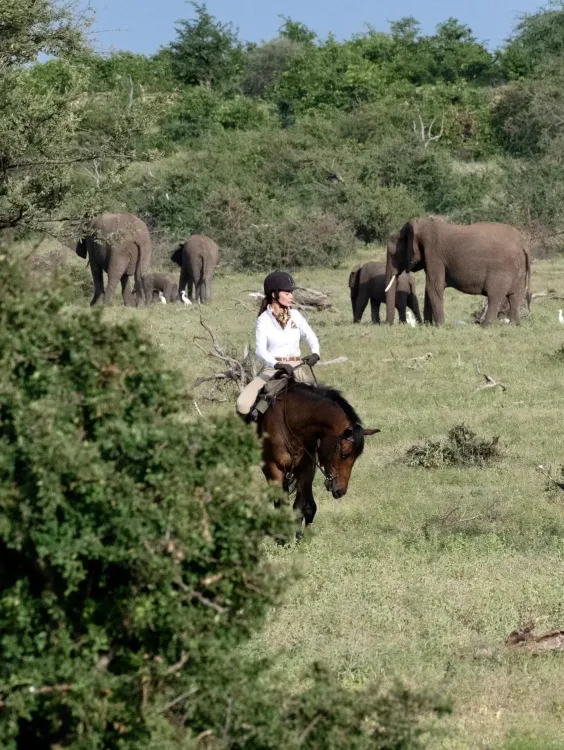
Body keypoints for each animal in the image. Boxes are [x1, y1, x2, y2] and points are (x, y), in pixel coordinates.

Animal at [385, 217, 531, 326]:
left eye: (392, 254)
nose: (387, 324)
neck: (420, 224)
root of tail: (523, 243)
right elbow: (429, 288)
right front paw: (428, 325)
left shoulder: (434, 254)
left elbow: (434, 287)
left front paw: (440, 326)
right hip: (519, 268)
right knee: (515, 296)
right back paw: (514, 324)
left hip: (502, 269)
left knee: (495, 295)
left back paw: (484, 326)